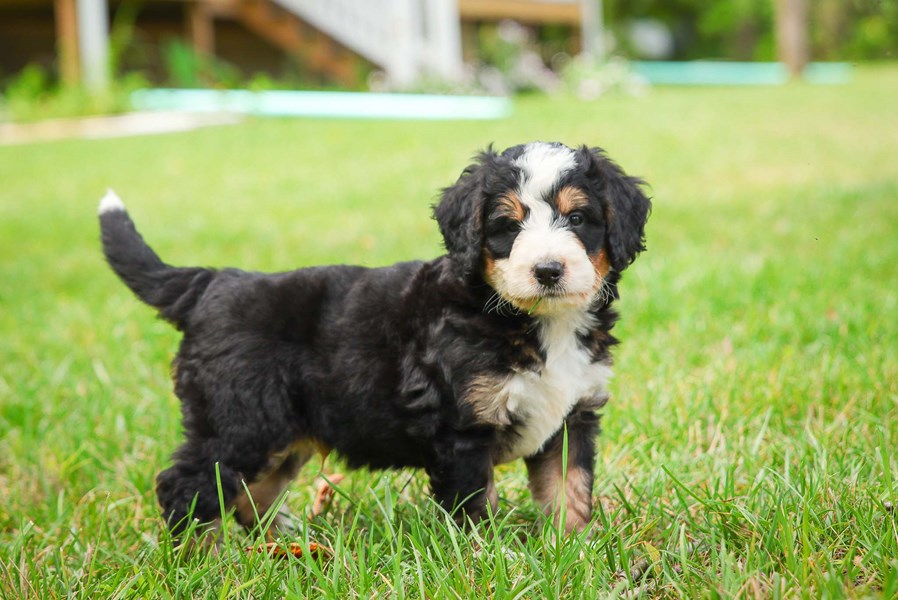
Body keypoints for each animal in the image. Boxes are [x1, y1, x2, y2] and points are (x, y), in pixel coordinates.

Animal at [100, 141, 652, 540]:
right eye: (506, 226)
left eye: (577, 218)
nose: (548, 270)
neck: (533, 321)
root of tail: (212, 282)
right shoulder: (462, 431)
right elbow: (475, 508)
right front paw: (489, 560)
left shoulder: (573, 417)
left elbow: (569, 492)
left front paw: (575, 552)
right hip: (238, 420)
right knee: (189, 485)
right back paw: (205, 557)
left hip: (280, 431)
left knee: (250, 493)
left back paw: (286, 540)